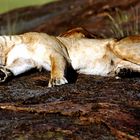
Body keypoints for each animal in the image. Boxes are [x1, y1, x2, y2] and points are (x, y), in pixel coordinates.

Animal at [0, 28, 139, 87]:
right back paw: (124, 72)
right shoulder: (26, 61)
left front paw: (56, 80)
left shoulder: (58, 52)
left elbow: (56, 66)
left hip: (118, 46)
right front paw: (3, 73)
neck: (11, 46)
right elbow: (14, 68)